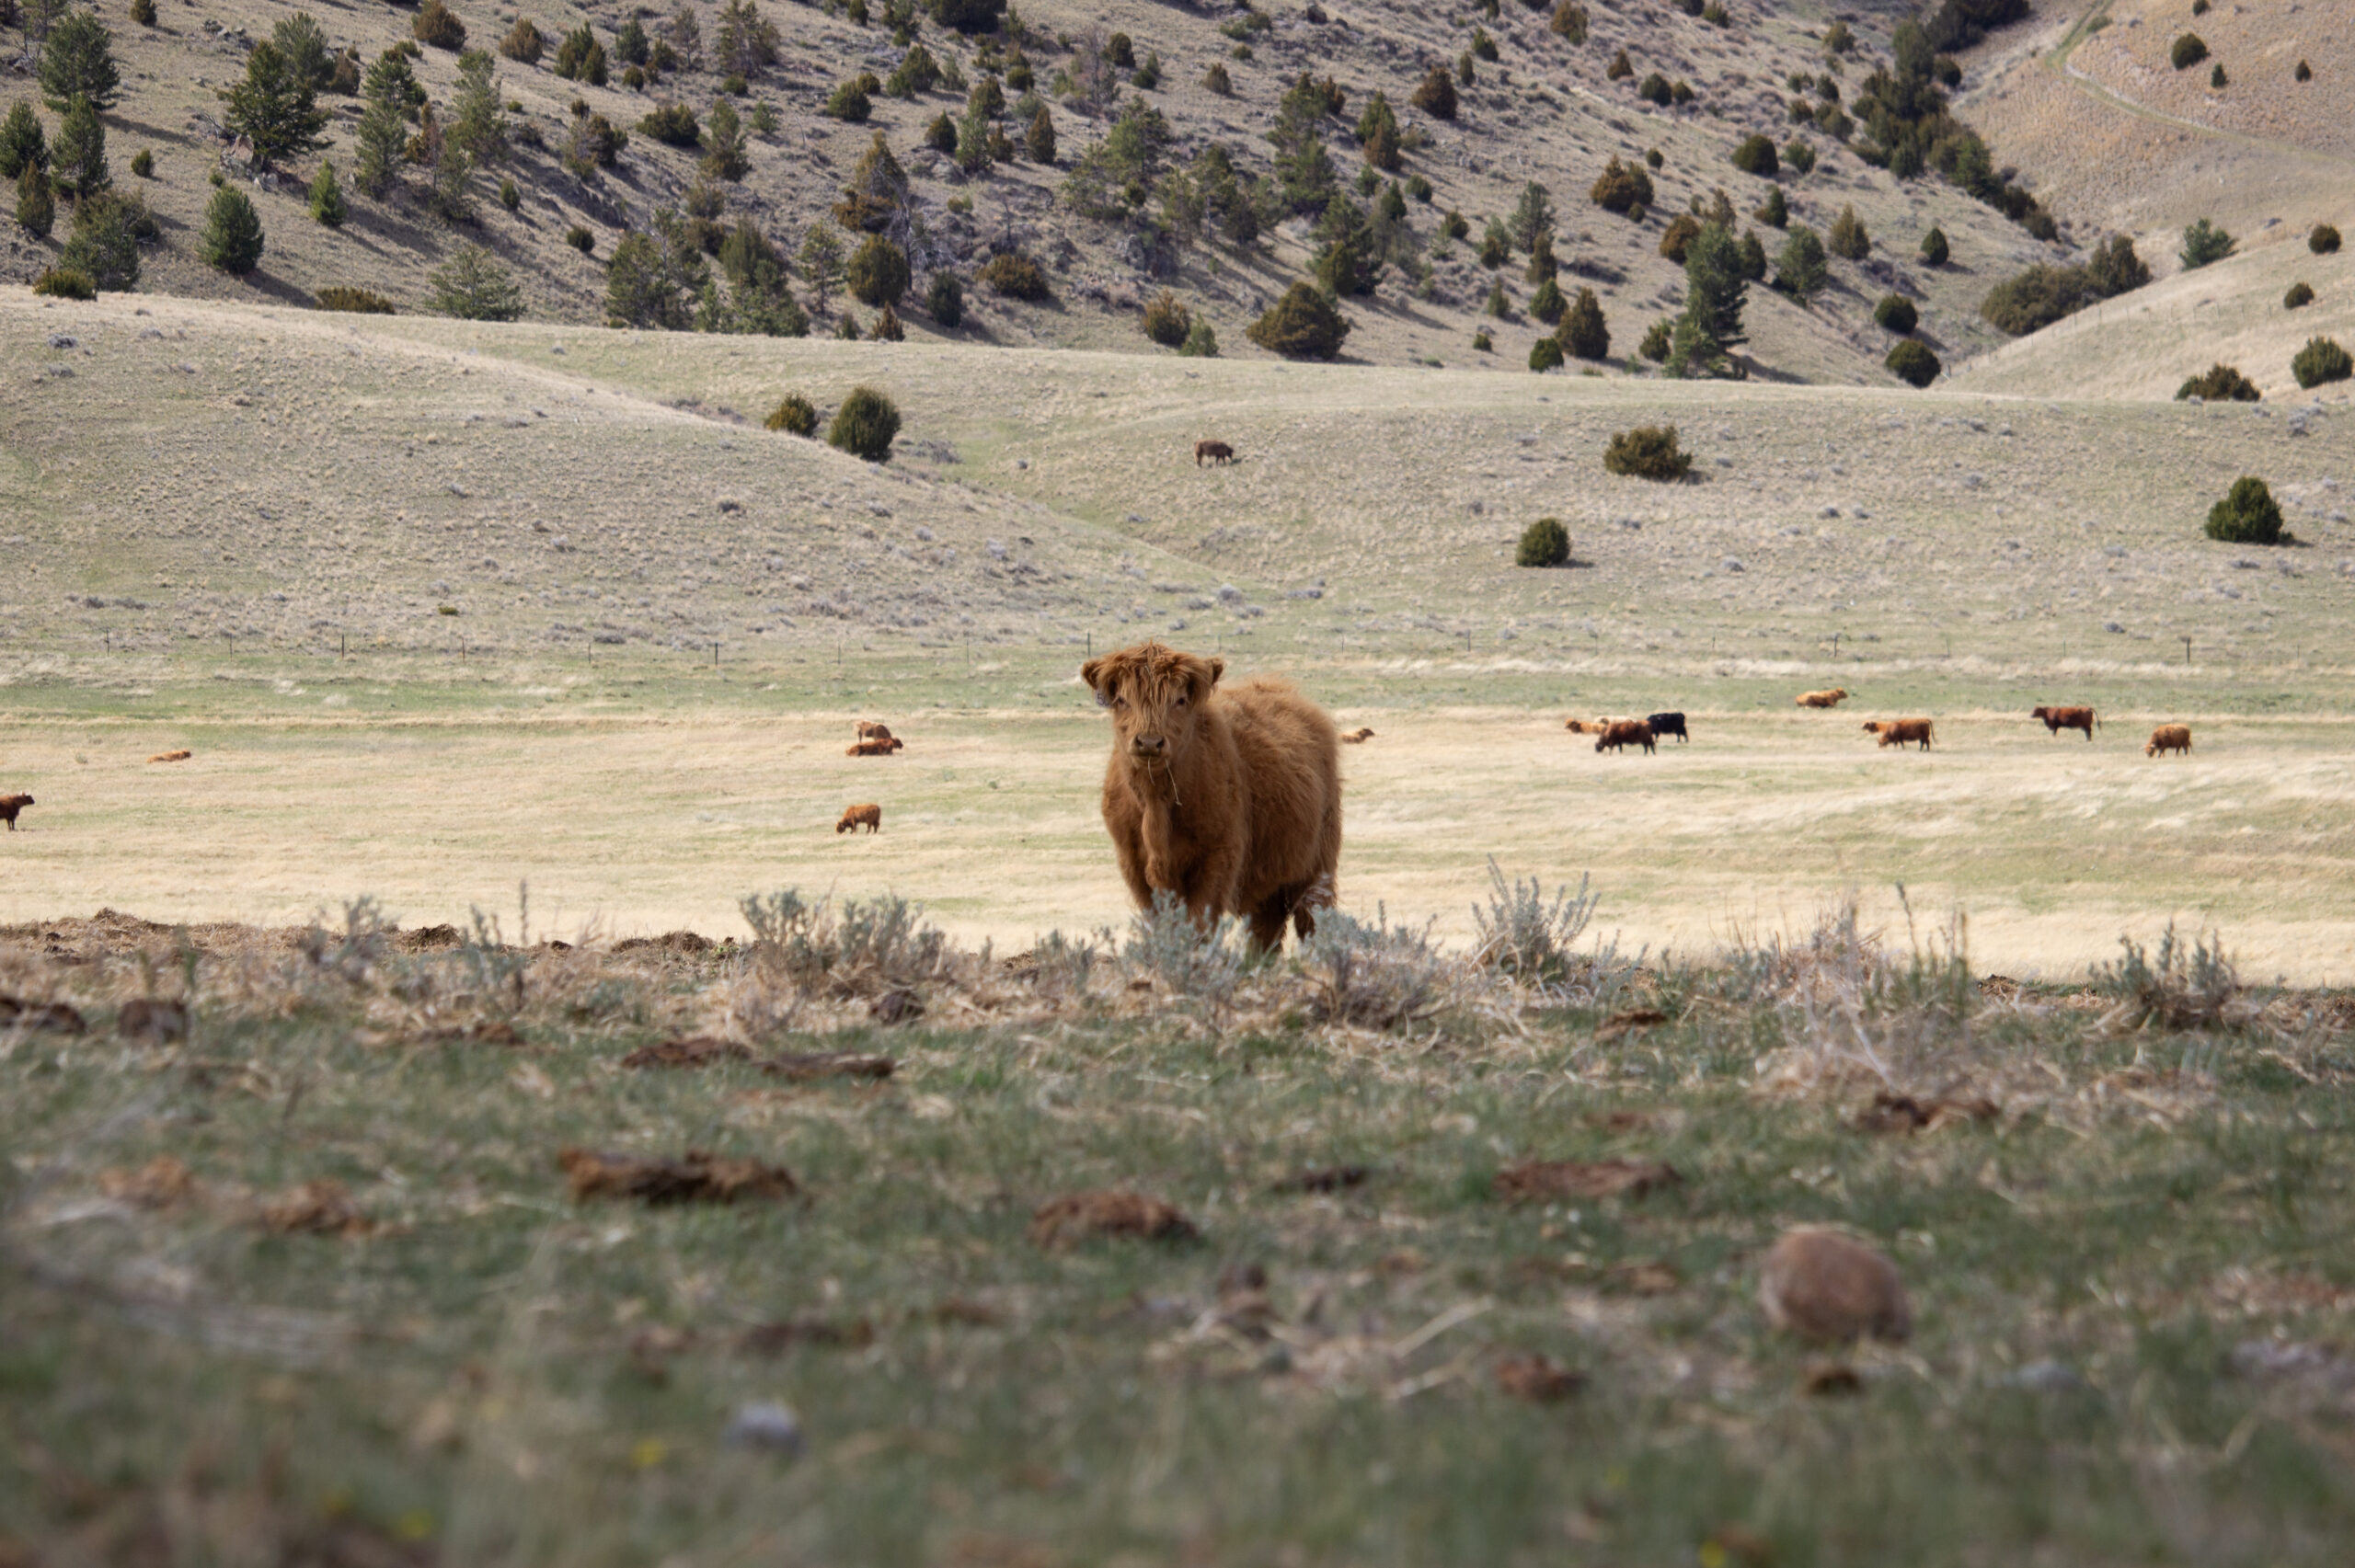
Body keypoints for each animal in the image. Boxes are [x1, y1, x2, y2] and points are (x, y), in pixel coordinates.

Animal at [1080, 640, 1341, 951]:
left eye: (1180, 700)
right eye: (1121, 699)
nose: (1149, 742)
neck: (1156, 803)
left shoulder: (1217, 860)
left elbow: (1198, 927)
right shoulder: (1134, 866)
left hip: (1318, 864)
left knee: (1312, 919)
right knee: (1265, 931)